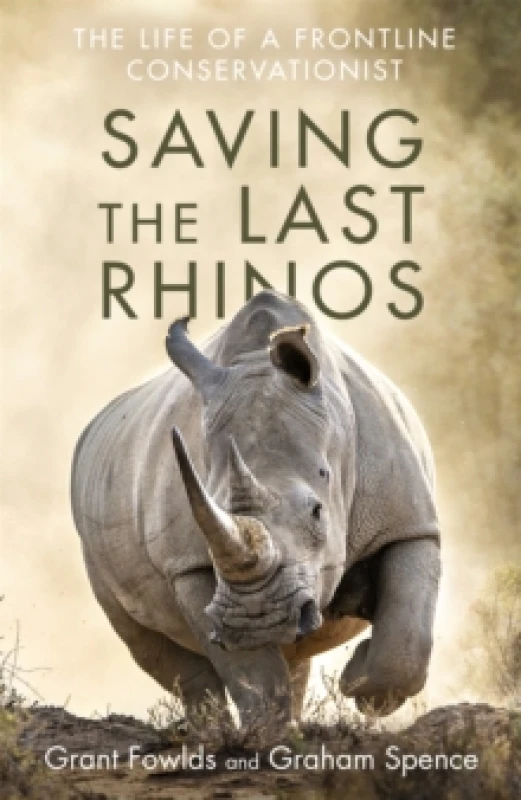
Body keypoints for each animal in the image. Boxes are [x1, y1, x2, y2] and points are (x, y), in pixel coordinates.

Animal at [71, 291, 441, 722]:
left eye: (317, 511)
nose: (257, 620)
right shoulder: (189, 564)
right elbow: (253, 673)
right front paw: (270, 733)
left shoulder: (408, 521)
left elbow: (407, 640)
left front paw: (359, 685)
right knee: (152, 647)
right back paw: (214, 730)